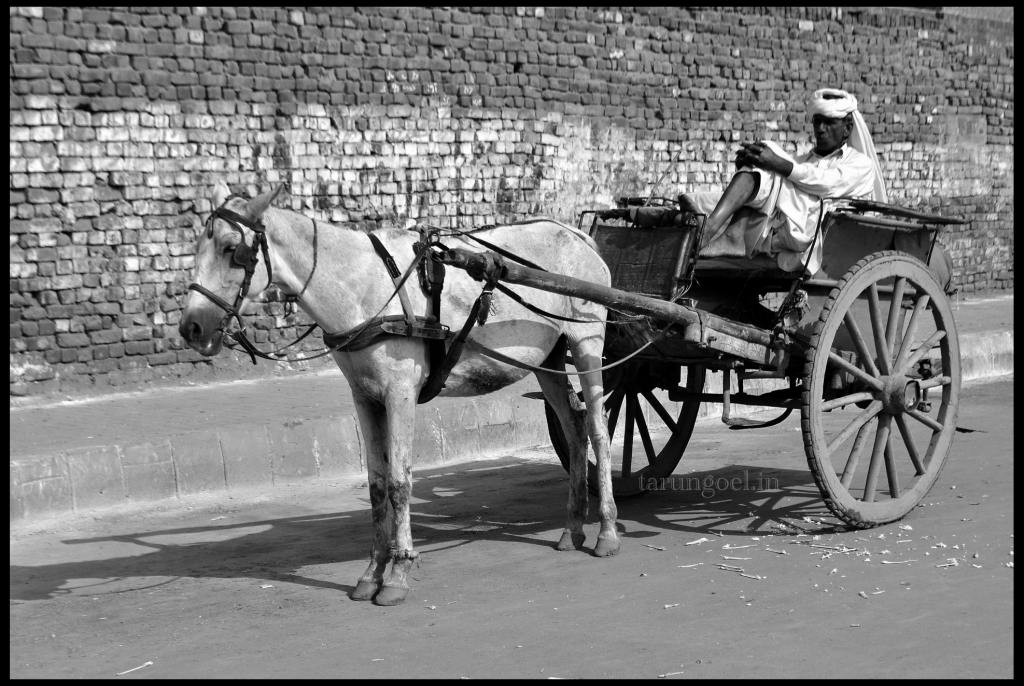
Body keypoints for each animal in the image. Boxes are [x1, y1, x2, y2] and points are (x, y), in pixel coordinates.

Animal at [180, 184, 618, 606]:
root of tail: (577, 236)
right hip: (548, 358)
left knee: (598, 429)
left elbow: (399, 482)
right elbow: (375, 484)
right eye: (198, 247)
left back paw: (607, 531)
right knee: (574, 428)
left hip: (586, 342)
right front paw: (372, 571)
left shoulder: (399, 394)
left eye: (230, 249)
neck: (364, 291)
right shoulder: (364, 397)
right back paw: (572, 528)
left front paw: (397, 574)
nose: (191, 328)